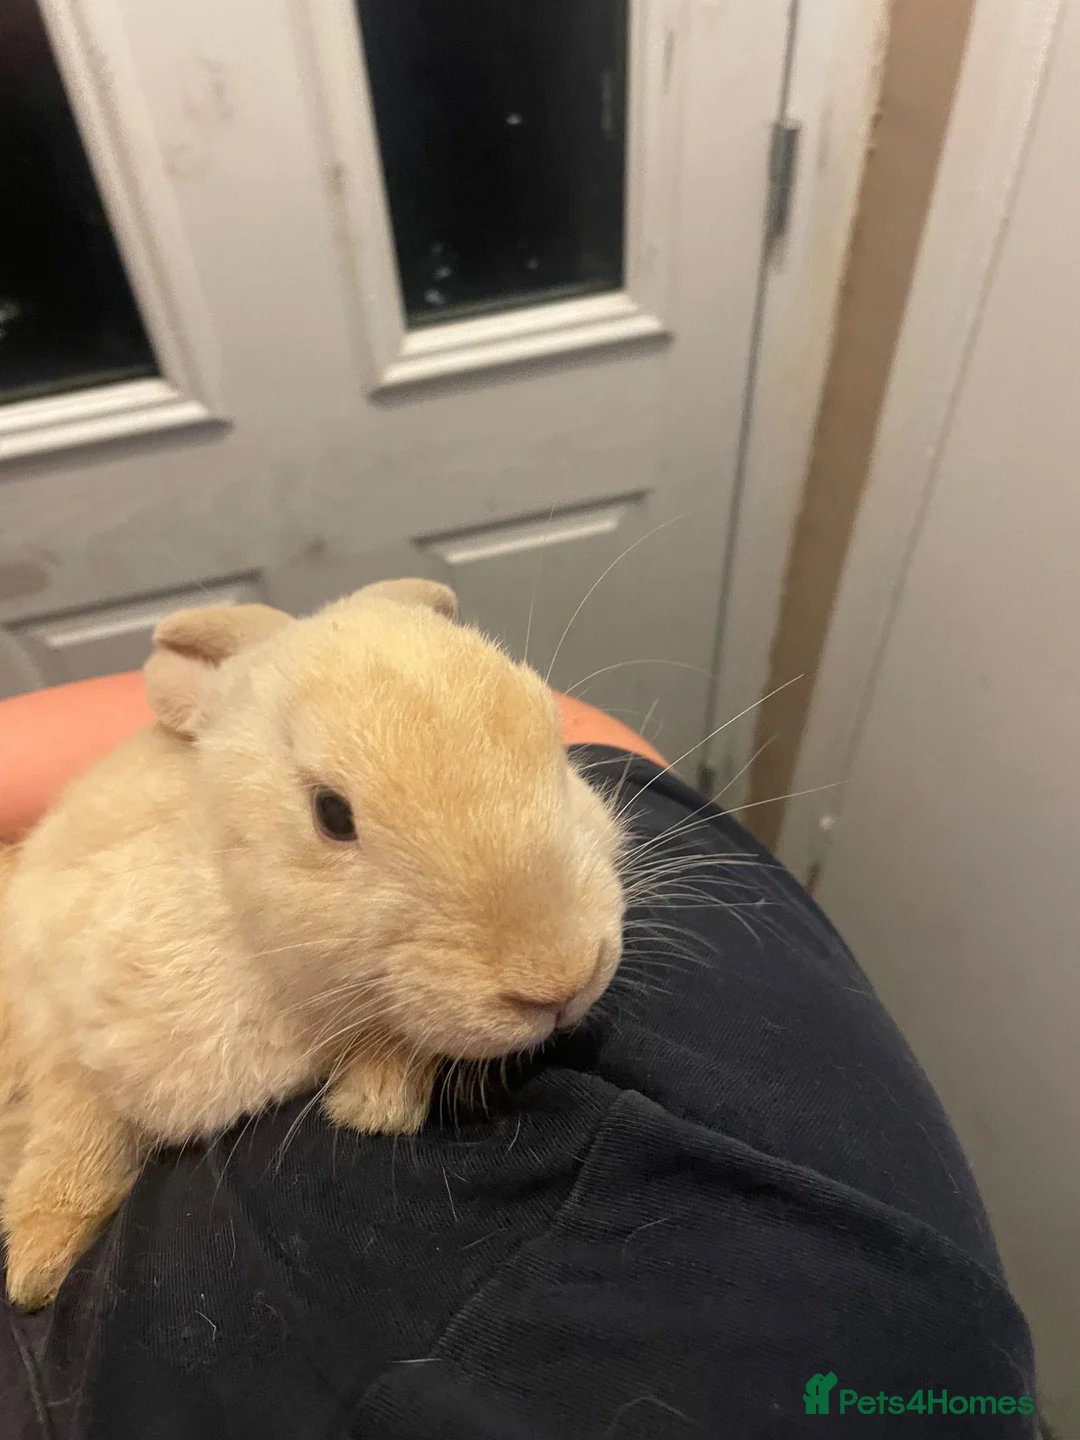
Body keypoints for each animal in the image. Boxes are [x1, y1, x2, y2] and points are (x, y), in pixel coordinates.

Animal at [0, 578, 625, 1312]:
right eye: (332, 813)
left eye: (553, 739)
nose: (563, 982)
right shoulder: (65, 1020)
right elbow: (77, 1132)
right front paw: (37, 1269)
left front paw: (374, 1102)